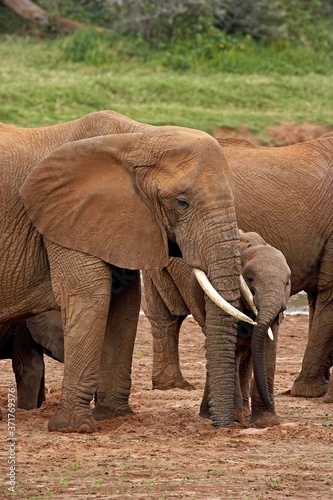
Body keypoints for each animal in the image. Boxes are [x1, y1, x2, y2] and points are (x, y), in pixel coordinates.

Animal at [0, 111, 252, 432]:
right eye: (182, 202)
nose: (223, 426)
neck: (138, 138)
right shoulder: (64, 218)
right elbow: (90, 295)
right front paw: (74, 427)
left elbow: (125, 304)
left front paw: (114, 417)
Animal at [141, 229, 290, 428]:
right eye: (250, 279)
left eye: (287, 283)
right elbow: (232, 347)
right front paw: (238, 419)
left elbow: (268, 347)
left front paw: (266, 422)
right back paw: (216, 414)